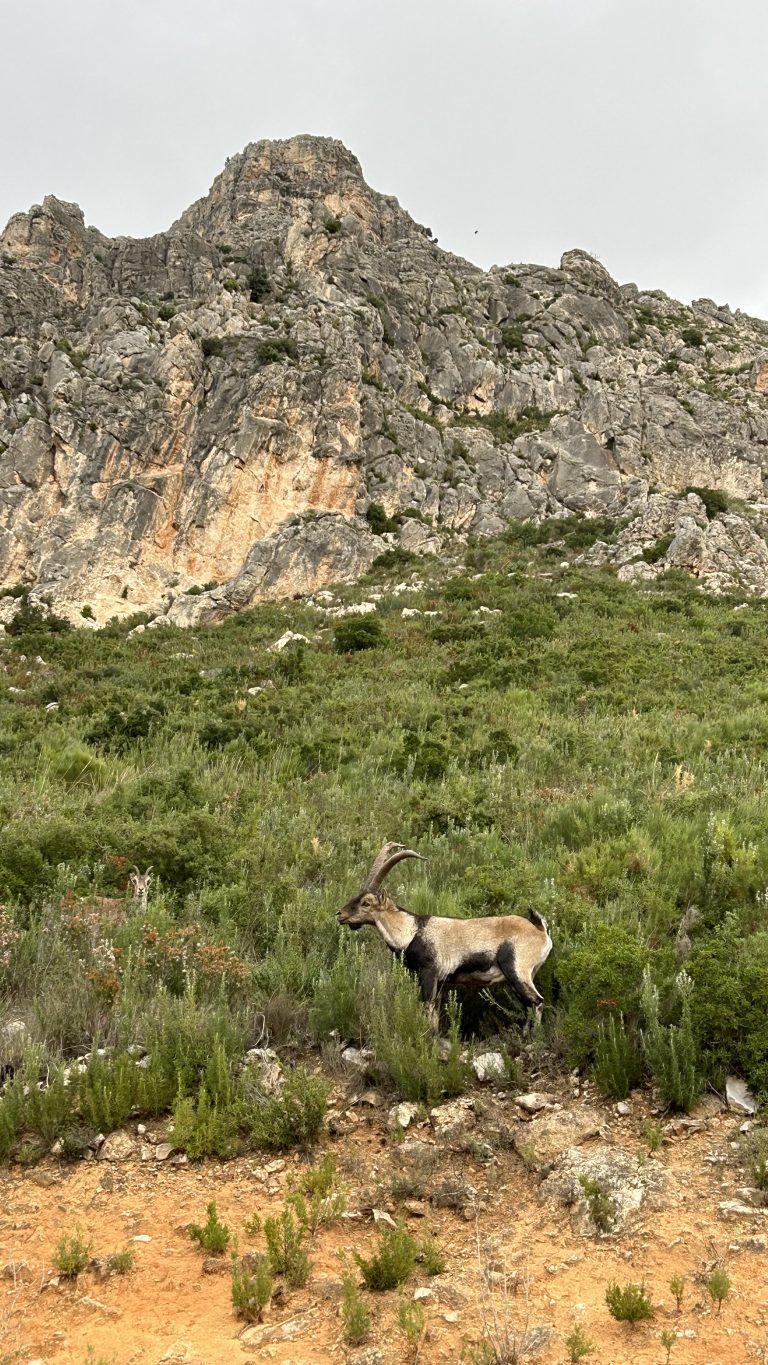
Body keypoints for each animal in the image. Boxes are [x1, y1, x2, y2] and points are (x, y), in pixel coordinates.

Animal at [337, 842, 552, 1025]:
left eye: (366, 903)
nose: (340, 914)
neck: (411, 931)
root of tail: (539, 930)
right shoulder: (439, 983)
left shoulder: (429, 974)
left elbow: (428, 1011)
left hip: (517, 970)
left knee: (536, 1001)